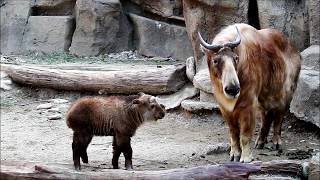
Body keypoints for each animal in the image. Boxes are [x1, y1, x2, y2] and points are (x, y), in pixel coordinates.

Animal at [199, 23, 302, 162]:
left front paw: (246, 157)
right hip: (264, 98)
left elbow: (245, 134)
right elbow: (233, 133)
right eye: (215, 60)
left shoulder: (248, 105)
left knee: (279, 117)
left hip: (286, 94)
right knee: (266, 116)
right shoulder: (224, 108)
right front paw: (234, 154)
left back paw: (276, 143)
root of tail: (293, 48)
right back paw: (260, 142)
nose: (233, 89)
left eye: (236, 58)